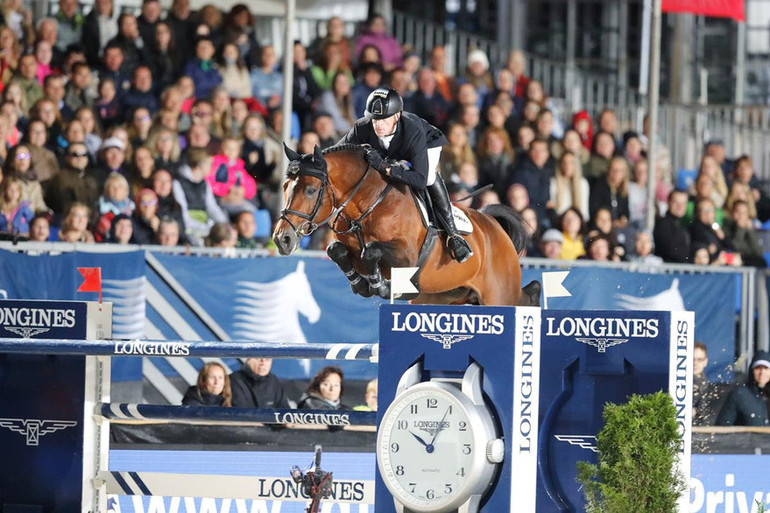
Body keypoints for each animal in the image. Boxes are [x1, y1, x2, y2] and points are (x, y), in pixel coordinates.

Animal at [272, 142, 540, 306]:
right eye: (285, 187)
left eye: (310, 190)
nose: (281, 239)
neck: (368, 201)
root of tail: (494, 226)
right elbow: (335, 250)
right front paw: (362, 284)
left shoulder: (407, 256)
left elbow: (371, 251)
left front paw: (380, 285)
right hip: (440, 296)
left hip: (500, 294)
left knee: (524, 297)